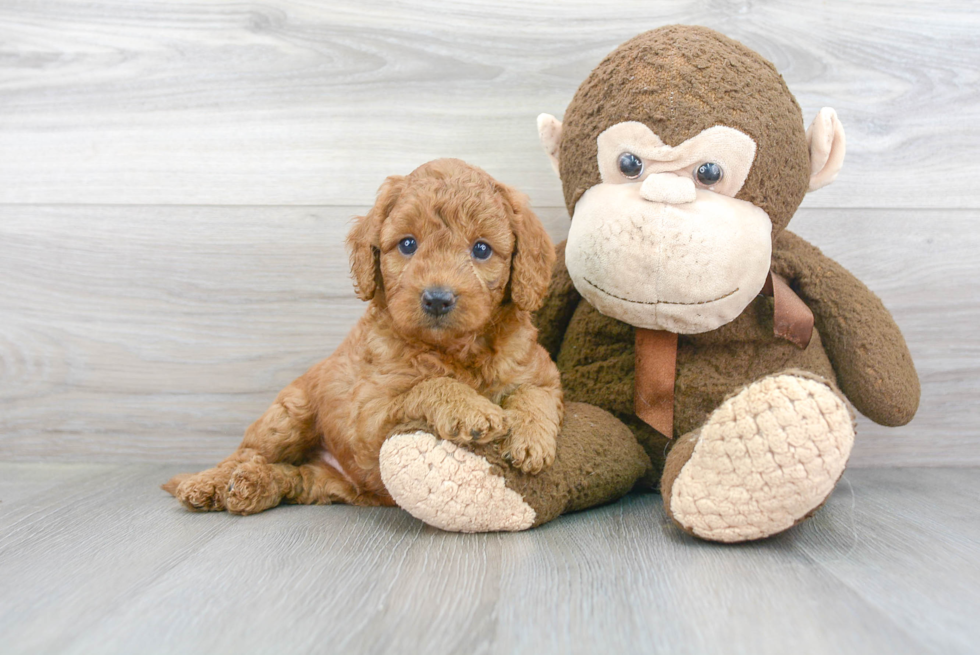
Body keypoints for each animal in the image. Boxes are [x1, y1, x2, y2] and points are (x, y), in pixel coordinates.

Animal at [166, 158, 564, 512]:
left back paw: (252, 486)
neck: (455, 349)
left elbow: (534, 395)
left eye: (481, 249)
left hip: (326, 481)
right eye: (407, 244)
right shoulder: (368, 417)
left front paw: (531, 442)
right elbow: (429, 385)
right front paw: (471, 410)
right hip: (287, 416)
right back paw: (206, 484)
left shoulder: (539, 371)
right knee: (245, 453)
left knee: (291, 477)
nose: (437, 298)